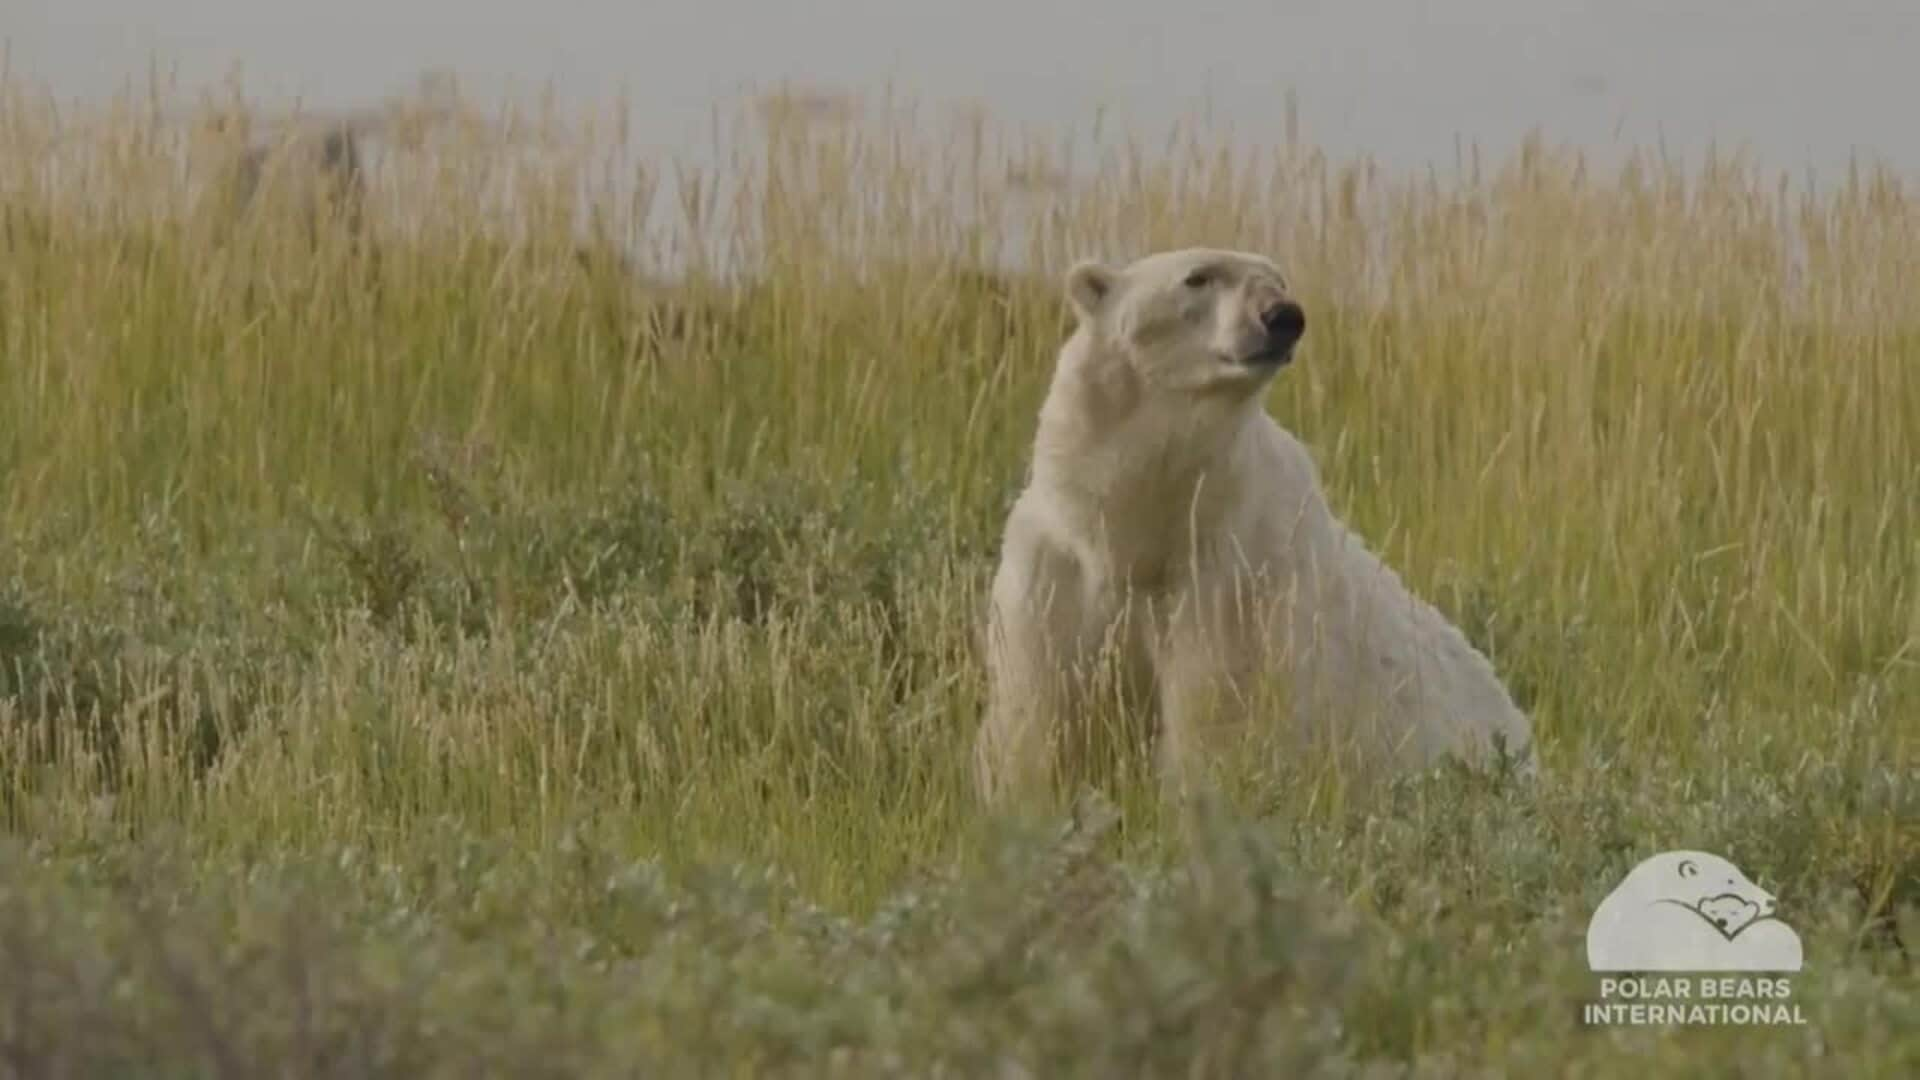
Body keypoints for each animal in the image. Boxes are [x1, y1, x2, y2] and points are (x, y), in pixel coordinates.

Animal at [975, 244, 1543, 799]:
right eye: (1198, 276)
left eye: (1279, 278)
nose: (1283, 316)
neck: (1141, 527)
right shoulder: (1058, 569)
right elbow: (1039, 705)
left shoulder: (1234, 580)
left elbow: (1220, 713)